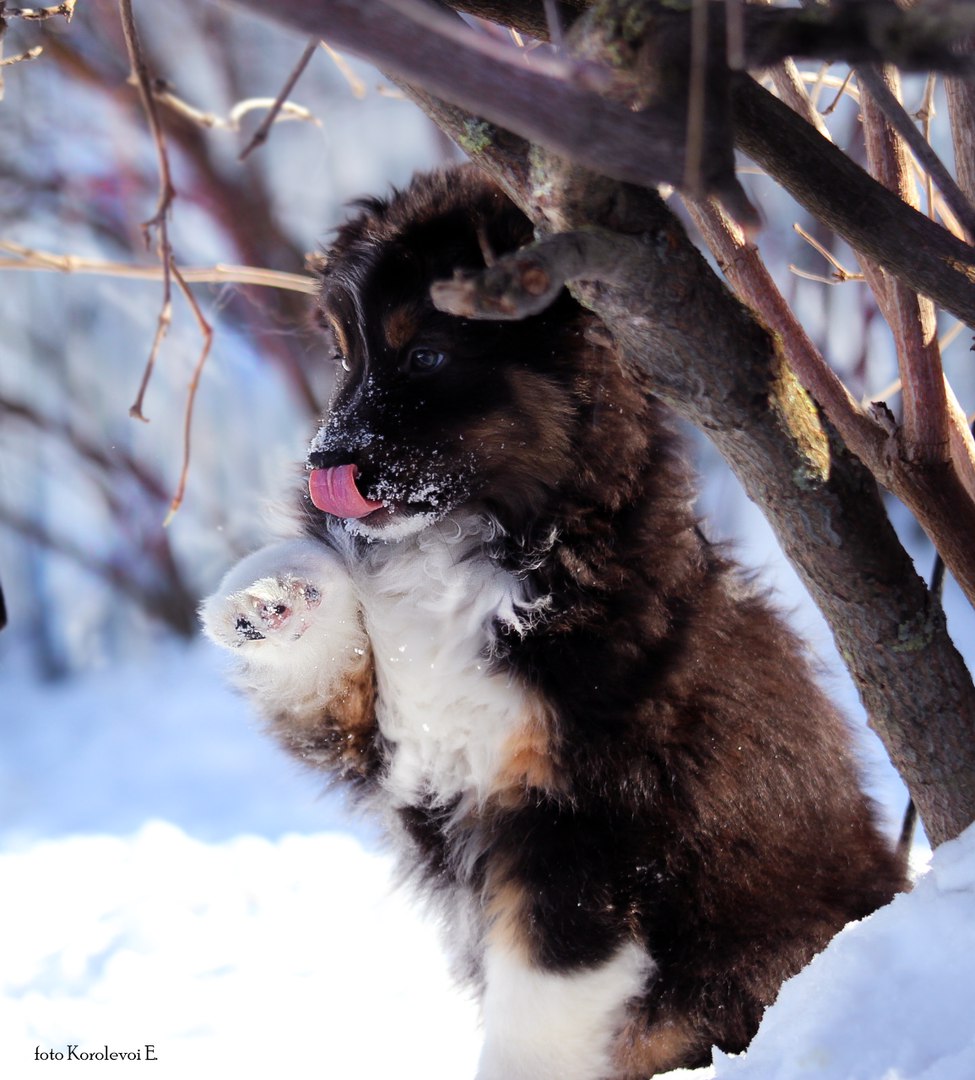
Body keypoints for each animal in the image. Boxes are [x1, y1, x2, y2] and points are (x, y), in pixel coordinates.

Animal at [201, 164, 911, 1075]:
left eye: (425, 355)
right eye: (345, 359)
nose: (325, 462)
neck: (488, 546)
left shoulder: (580, 823)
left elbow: (536, 1010)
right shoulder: (390, 740)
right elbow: (337, 678)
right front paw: (274, 595)